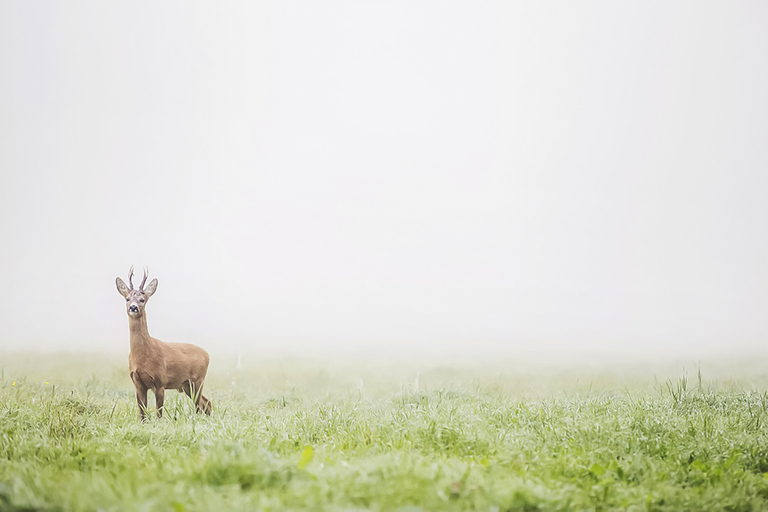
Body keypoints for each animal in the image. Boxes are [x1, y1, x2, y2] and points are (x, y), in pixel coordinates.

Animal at [114, 268, 212, 420]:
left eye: (142, 299)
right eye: (127, 298)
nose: (133, 307)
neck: (144, 355)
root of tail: (207, 354)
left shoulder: (160, 381)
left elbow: (159, 412)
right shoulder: (137, 382)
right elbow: (142, 412)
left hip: (198, 380)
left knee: (201, 405)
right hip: (186, 385)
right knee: (206, 403)